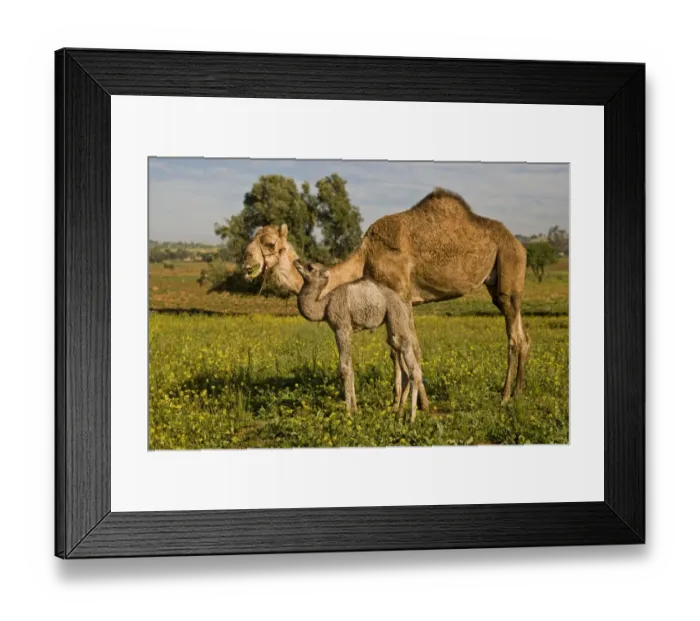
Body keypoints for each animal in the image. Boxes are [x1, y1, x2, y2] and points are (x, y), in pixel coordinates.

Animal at [243, 188, 531, 405]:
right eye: (251, 241)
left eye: (269, 244)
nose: (247, 264)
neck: (366, 258)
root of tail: (519, 244)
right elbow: (394, 349)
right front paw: (397, 401)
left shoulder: (402, 295)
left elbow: (409, 346)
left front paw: (419, 404)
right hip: (499, 285)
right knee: (524, 336)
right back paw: (519, 391)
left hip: (509, 268)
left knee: (514, 338)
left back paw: (505, 396)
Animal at [294, 260, 424, 424]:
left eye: (310, 267)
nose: (296, 261)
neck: (324, 305)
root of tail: (404, 303)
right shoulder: (347, 330)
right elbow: (350, 367)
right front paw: (355, 409)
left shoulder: (341, 327)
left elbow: (344, 368)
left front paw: (348, 413)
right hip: (392, 322)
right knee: (400, 356)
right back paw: (399, 412)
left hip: (396, 314)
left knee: (413, 367)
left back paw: (411, 418)